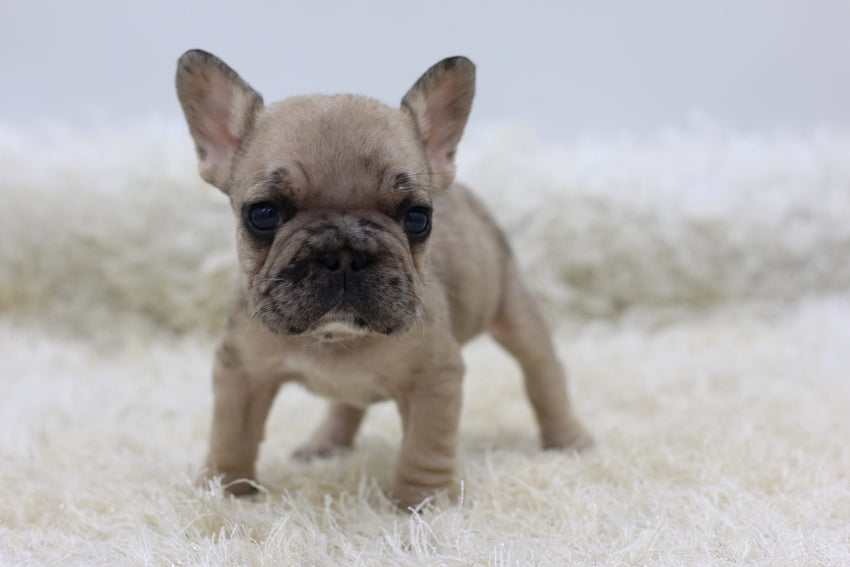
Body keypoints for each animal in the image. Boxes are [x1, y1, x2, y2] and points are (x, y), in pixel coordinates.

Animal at [176, 48, 592, 510]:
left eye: (417, 218)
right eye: (263, 214)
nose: (344, 253)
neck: (336, 341)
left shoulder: (436, 379)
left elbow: (425, 447)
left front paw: (421, 503)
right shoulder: (241, 374)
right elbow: (231, 435)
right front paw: (224, 491)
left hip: (513, 306)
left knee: (543, 374)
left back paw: (568, 439)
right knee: (346, 406)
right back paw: (324, 444)